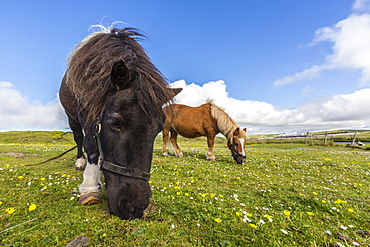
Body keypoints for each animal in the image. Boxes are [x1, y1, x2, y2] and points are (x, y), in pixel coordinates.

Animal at [59, 24, 181, 219]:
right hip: (71, 117)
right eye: (115, 122)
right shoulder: (86, 109)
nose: (134, 206)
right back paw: (80, 162)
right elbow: (90, 144)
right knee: (78, 137)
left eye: (158, 129)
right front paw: (90, 187)